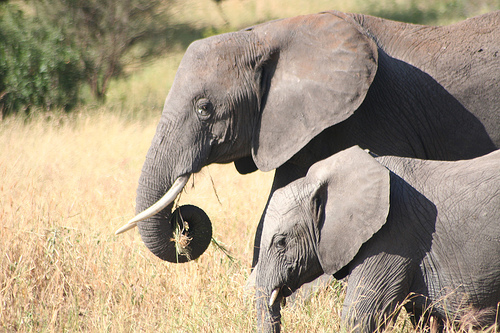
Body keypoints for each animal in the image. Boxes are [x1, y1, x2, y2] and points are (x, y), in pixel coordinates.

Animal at [114, 11, 500, 264]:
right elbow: (275, 210)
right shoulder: (293, 125)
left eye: (205, 108)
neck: (267, 35)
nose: (183, 222)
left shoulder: (373, 115)